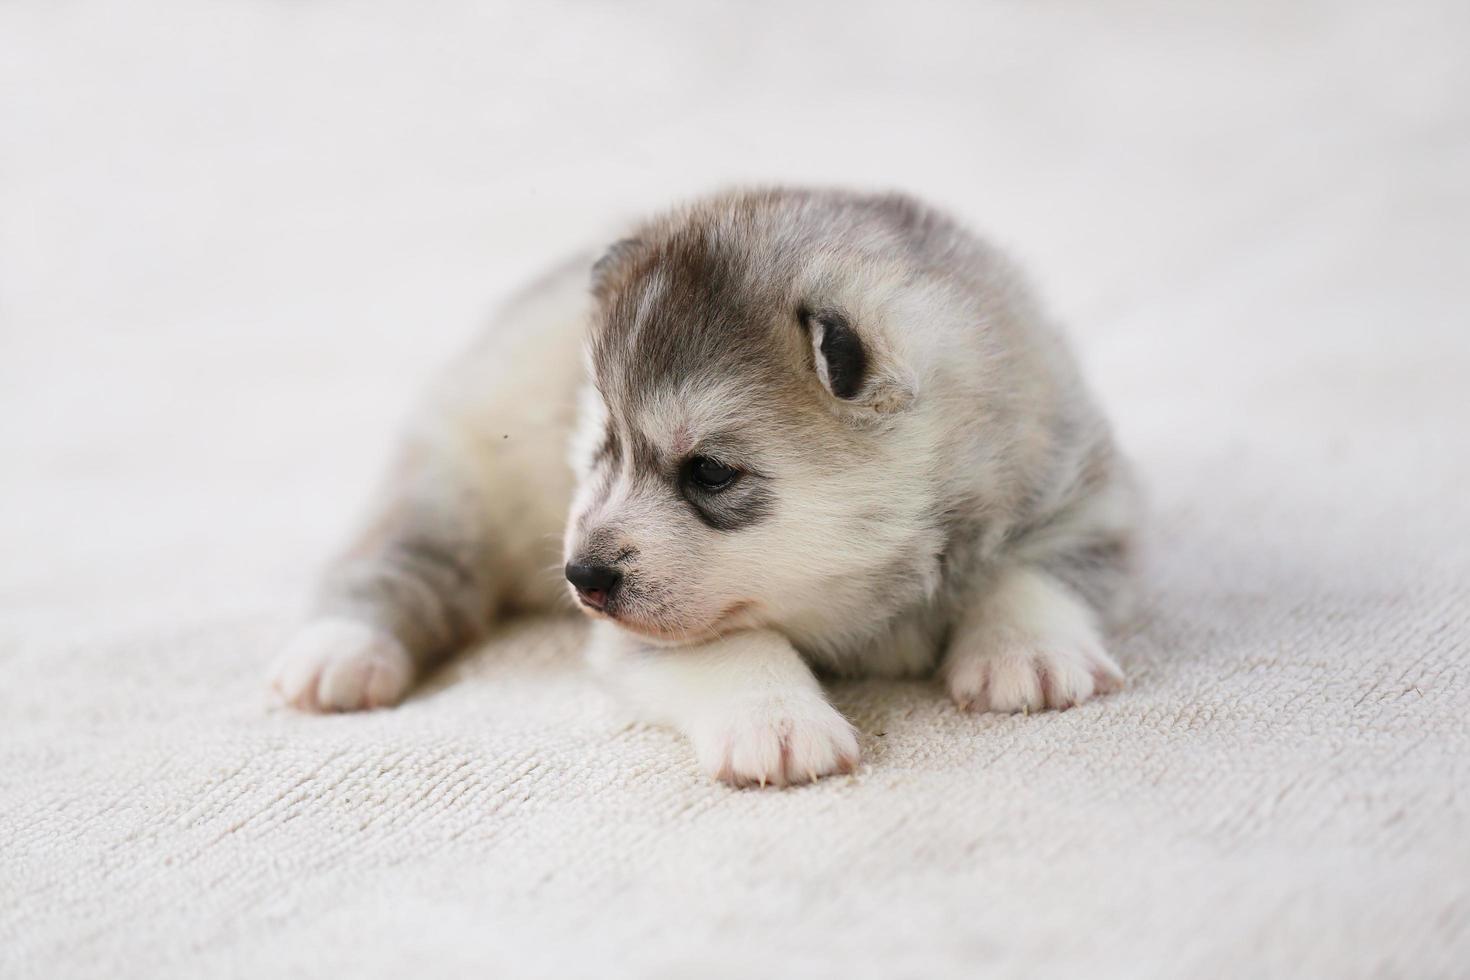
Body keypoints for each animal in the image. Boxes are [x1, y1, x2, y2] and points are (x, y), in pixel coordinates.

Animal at [273, 188, 1134, 787]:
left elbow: (1037, 569)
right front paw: (776, 720)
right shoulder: (648, 631)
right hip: (456, 486)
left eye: (711, 472)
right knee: (398, 559)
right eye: (602, 447)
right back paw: (338, 650)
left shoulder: (1086, 494)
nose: (580, 577)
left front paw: (1027, 651)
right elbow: (737, 646)